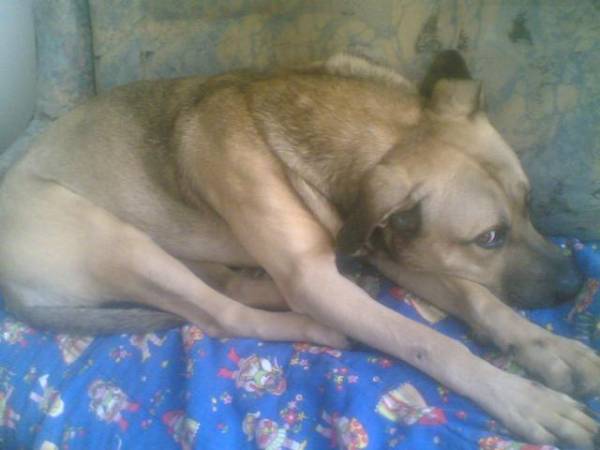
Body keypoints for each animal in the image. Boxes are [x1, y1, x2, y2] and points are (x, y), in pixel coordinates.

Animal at [0, 50, 598, 448]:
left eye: (530, 202)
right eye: (489, 238)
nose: (575, 285)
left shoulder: (387, 242)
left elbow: (480, 300)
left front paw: (552, 350)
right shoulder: (316, 275)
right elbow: (431, 344)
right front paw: (525, 400)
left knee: (229, 287)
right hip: (117, 240)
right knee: (221, 316)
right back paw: (318, 327)